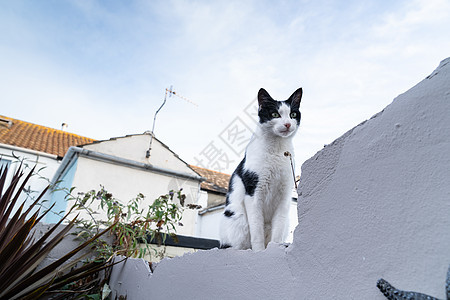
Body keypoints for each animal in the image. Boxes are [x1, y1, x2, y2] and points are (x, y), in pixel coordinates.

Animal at [221, 86, 304, 251]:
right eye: (275, 114)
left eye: (292, 114)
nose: (287, 124)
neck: (277, 150)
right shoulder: (253, 193)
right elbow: (256, 229)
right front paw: (259, 251)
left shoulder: (284, 195)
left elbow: (277, 229)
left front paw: (273, 248)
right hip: (236, 217)